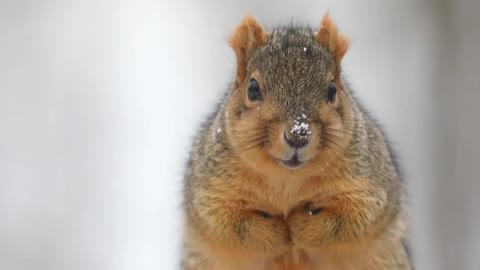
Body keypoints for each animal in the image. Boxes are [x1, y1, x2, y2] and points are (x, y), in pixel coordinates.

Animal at [182, 13, 410, 268]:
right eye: (253, 89)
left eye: (332, 90)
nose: (298, 135)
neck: (287, 178)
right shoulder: (212, 186)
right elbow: (225, 222)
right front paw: (278, 232)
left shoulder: (370, 181)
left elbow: (356, 216)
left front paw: (300, 226)